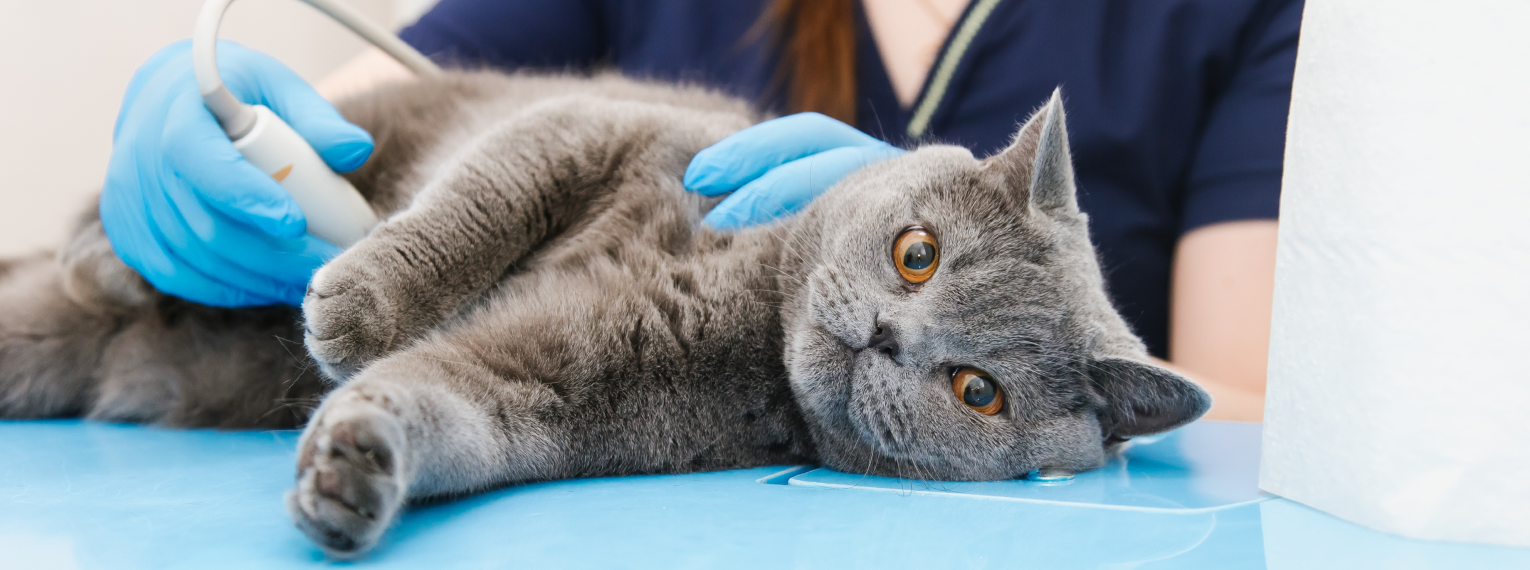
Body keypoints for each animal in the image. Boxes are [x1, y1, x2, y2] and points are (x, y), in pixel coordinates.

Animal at [0, 69, 1205, 556]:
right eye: (918, 255)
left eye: (977, 391)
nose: (886, 334)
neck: (745, 302)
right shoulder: (604, 126)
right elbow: (478, 207)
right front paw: (355, 310)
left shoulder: (551, 389)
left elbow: (455, 404)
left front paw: (357, 467)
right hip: (364, 118)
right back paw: (121, 252)